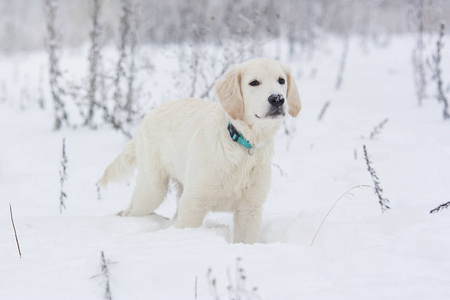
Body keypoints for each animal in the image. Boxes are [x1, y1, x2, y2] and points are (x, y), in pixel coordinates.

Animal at [100, 58, 300, 244]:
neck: (242, 145)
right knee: (131, 211)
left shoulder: (250, 209)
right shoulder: (193, 203)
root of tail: (148, 115)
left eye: (281, 80)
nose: (277, 99)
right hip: (152, 188)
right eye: (254, 82)